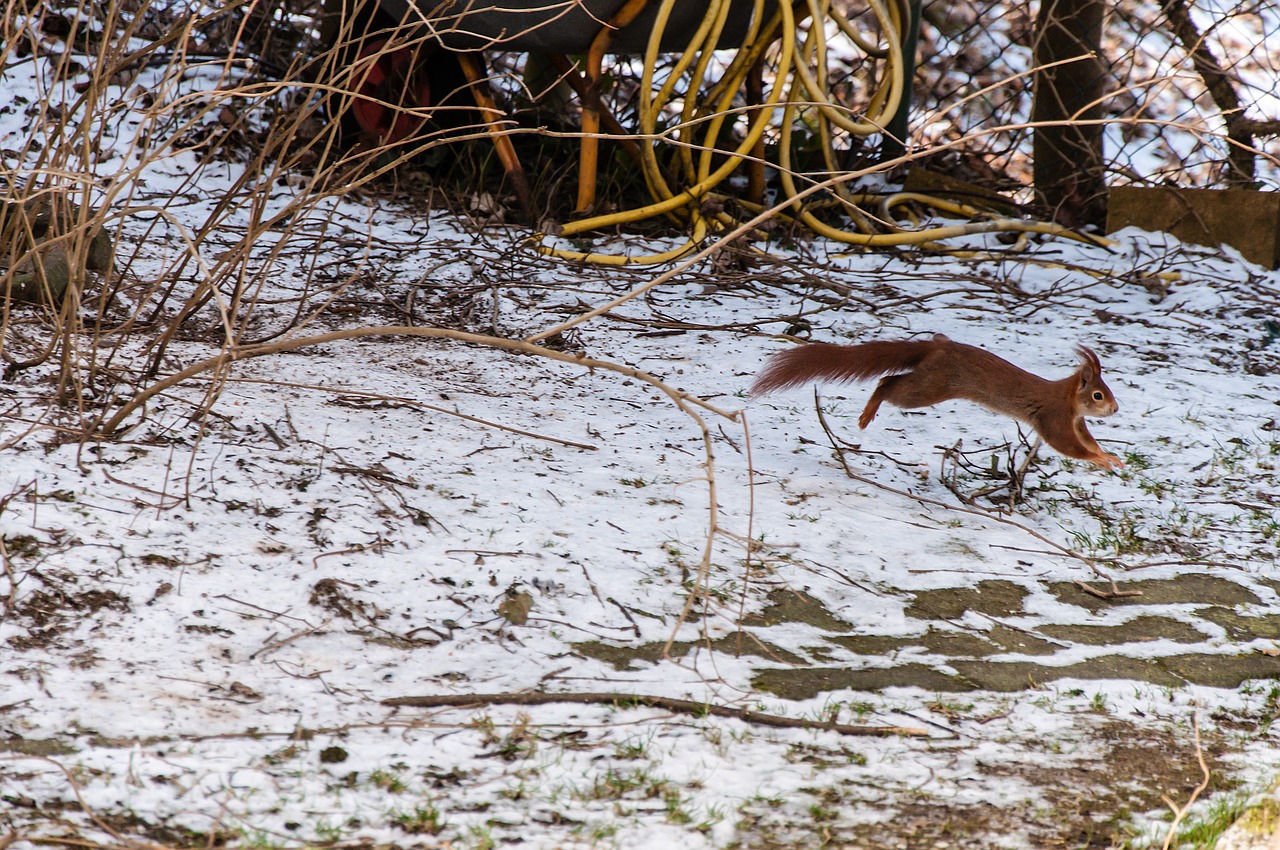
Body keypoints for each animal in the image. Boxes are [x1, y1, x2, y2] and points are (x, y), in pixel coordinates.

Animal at [752, 332, 1126, 468]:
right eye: (1098, 394)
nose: (1115, 408)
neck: (1069, 399)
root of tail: (937, 347)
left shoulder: (1077, 421)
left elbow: (1087, 440)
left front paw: (1108, 456)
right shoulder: (1054, 418)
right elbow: (1069, 446)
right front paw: (1103, 461)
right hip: (929, 388)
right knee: (887, 384)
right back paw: (867, 414)